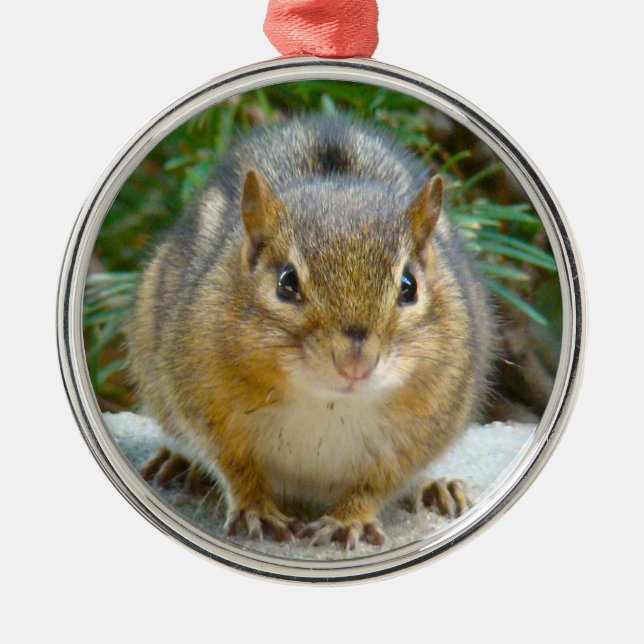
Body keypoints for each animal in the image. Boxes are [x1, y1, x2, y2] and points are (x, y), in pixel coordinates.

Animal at [127, 115, 496, 550]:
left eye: (410, 286)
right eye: (286, 283)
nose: (355, 363)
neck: (328, 402)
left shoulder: (424, 428)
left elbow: (379, 482)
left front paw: (349, 520)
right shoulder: (204, 401)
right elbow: (234, 465)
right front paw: (256, 508)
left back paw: (436, 488)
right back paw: (178, 461)